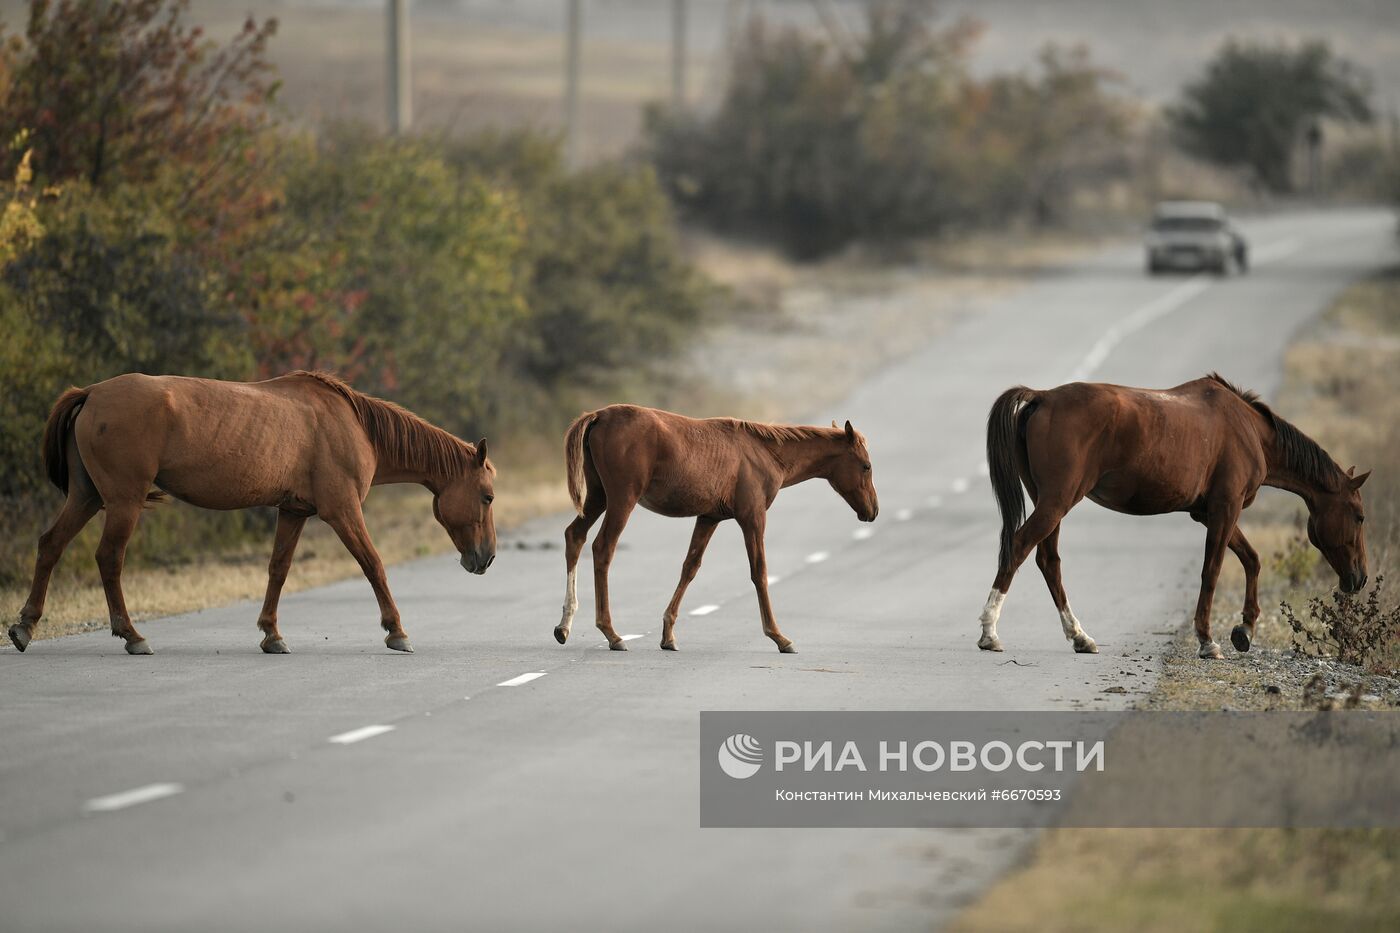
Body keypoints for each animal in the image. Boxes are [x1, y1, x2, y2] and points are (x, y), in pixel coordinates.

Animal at [5, 369, 495, 652]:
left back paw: (25, 626)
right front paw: (396, 631)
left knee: (50, 545)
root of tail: (91, 392)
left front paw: (271, 633)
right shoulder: (342, 511)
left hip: (87, 497)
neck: (352, 424)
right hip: (123, 502)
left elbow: (278, 569)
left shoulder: (293, 512)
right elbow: (373, 564)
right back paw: (132, 635)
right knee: (109, 558)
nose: (486, 557)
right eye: (487, 496)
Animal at [548, 403, 868, 650]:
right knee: (602, 548)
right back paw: (612, 633)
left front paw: (668, 635)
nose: (872, 511)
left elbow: (690, 567)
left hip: (598, 497)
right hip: (621, 499)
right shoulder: (753, 518)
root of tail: (598, 416)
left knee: (574, 536)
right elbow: (759, 572)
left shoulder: (708, 518)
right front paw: (779, 637)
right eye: (866, 466)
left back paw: (565, 625)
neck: (764, 453)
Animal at [974, 369, 1366, 652]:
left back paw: (1080, 636)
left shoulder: (1209, 512)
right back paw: (989, 632)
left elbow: (1251, 560)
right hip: (1056, 502)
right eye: (1360, 517)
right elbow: (1212, 571)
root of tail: (1042, 397)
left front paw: (1245, 629)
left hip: (1049, 504)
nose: (1359, 578)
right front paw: (1208, 640)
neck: (1247, 429)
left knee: (1048, 562)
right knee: (1019, 548)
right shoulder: (1225, 508)